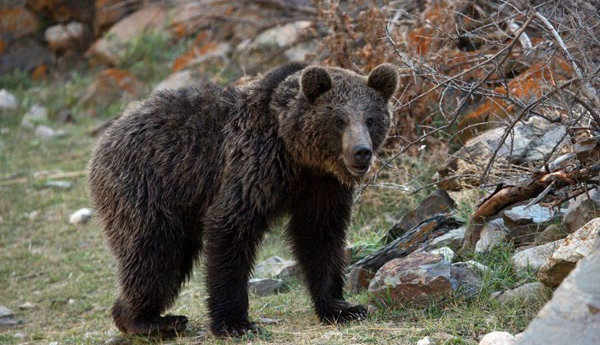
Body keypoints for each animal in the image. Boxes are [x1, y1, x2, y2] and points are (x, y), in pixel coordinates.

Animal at [88, 61, 398, 336]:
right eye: (339, 120)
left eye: (370, 119)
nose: (361, 152)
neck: (296, 153)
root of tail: (106, 137)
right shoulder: (252, 167)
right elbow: (231, 228)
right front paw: (235, 323)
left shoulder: (323, 187)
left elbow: (320, 237)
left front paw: (342, 308)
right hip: (149, 187)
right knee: (154, 252)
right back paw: (147, 321)